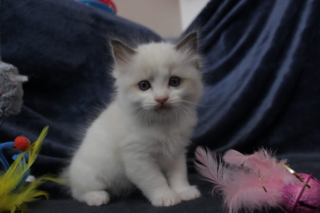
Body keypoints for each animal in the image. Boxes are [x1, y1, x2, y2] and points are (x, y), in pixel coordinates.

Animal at [63, 31, 204, 206]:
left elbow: (179, 174)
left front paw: (184, 192)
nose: (161, 99)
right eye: (144, 86)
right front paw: (166, 197)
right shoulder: (138, 158)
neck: (163, 124)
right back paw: (98, 197)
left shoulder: (176, 152)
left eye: (174, 82)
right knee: (79, 193)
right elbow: (155, 180)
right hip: (92, 175)